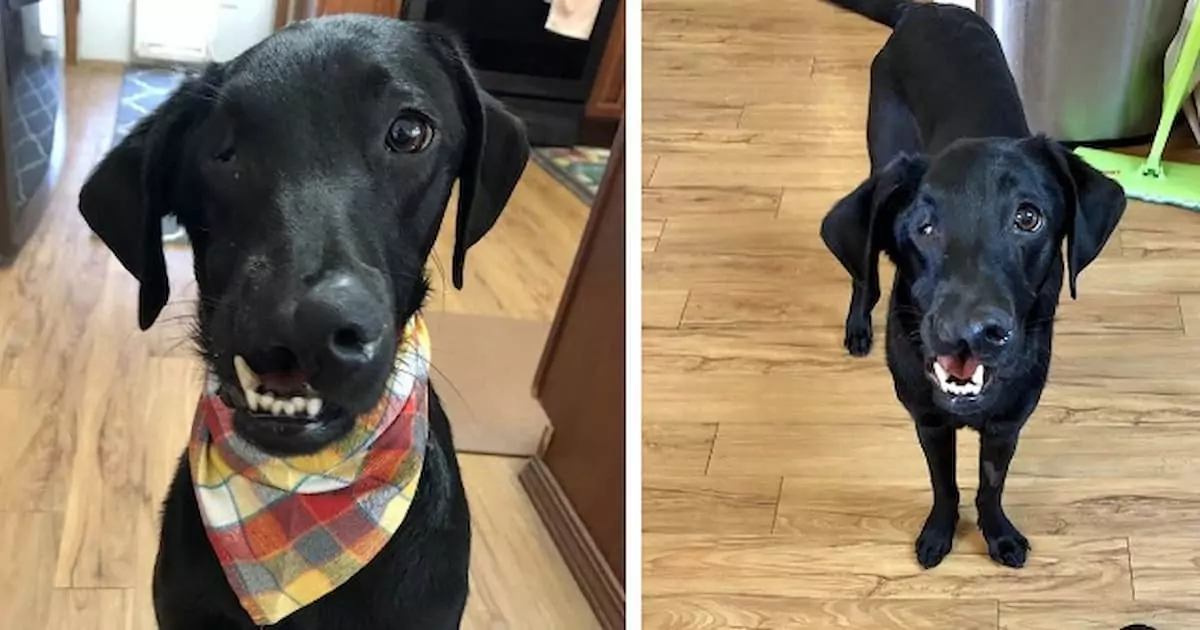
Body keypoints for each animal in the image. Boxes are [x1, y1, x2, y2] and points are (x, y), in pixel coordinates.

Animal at [820, 0, 1128, 566]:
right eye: (924, 226)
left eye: (1028, 218)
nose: (970, 332)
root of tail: (924, 9)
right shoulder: (928, 419)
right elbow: (944, 485)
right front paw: (939, 533)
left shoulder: (1008, 422)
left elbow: (991, 484)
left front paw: (998, 534)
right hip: (880, 149)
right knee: (864, 272)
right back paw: (858, 324)